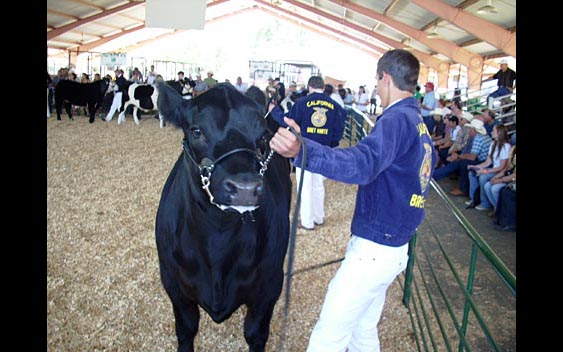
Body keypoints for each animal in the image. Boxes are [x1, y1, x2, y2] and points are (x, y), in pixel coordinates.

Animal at [156, 83, 294, 352]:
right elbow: (186, 329)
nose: (245, 187)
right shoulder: (173, 284)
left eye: (262, 136)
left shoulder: (271, 285)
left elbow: (256, 333)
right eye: (196, 131)